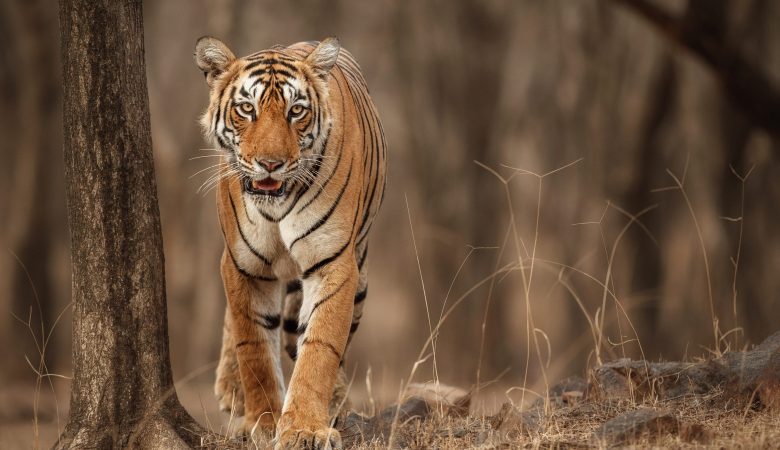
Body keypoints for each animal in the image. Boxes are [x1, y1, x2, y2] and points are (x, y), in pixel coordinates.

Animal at [194, 35, 386, 449]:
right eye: (246, 109)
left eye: (296, 111)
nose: (270, 164)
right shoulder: (242, 265)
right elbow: (253, 347)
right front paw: (264, 422)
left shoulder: (333, 263)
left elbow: (319, 348)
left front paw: (304, 429)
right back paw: (232, 391)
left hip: (361, 277)